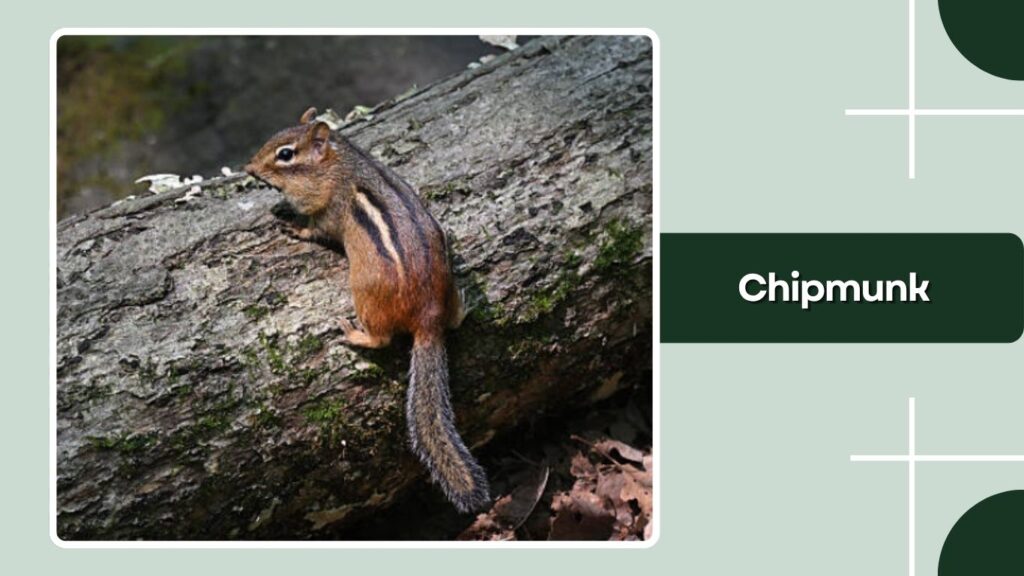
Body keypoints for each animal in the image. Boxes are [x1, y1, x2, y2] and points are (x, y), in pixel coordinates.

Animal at [245, 107, 491, 513]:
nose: (248, 168)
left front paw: (293, 227)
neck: (340, 163)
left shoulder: (327, 211)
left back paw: (352, 334)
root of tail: (429, 319)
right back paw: (464, 304)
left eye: (285, 154)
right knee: (454, 320)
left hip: (363, 294)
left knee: (381, 339)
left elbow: (314, 230)